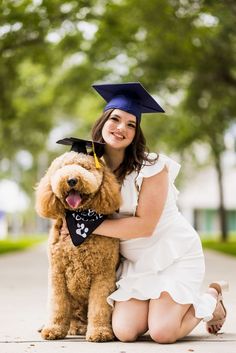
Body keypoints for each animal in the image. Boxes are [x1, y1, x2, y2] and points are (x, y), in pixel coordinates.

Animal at [36, 150, 121, 340]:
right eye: (63, 167)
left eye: (85, 167)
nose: (72, 180)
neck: (78, 220)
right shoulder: (57, 273)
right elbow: (58, 305)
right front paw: (54, 328)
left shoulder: (103, 275)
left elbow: (99, 306)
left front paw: (100, 331)